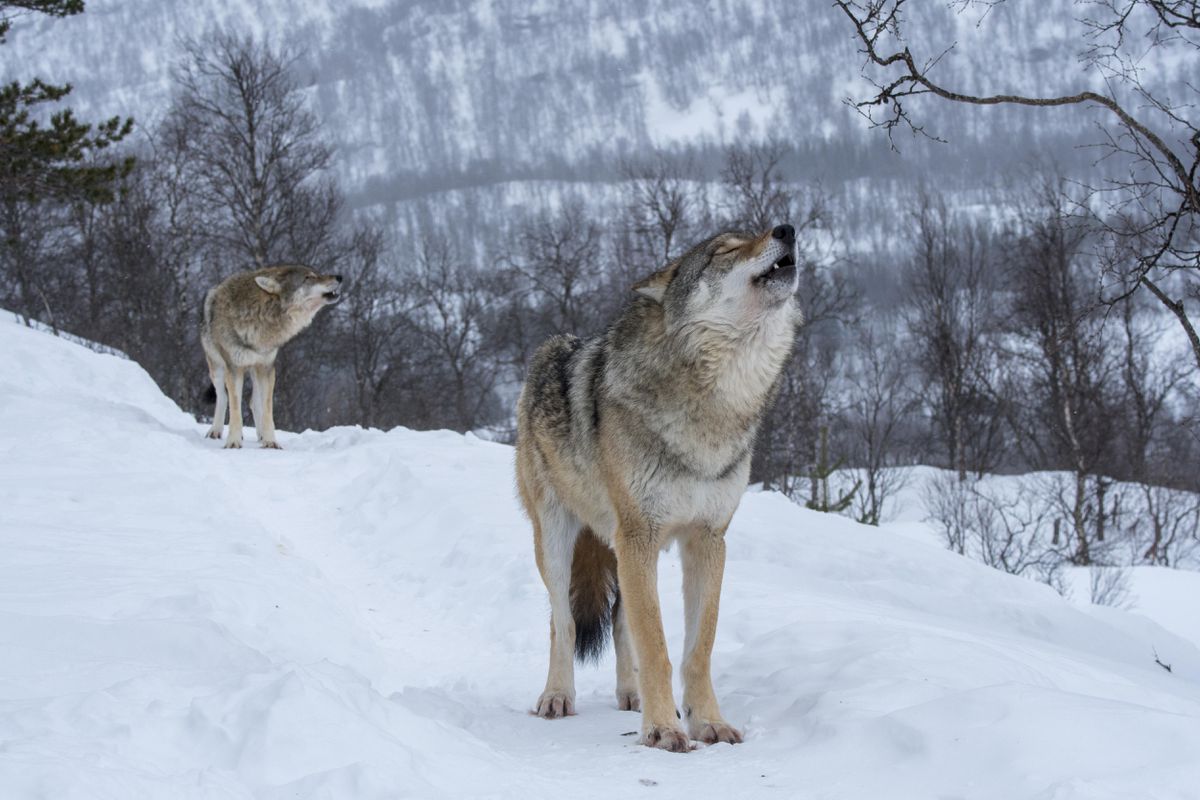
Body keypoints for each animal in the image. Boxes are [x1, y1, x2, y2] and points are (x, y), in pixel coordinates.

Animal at [201, 264, 342, 449]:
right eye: (308, 277)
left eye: (316, 273)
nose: (340, 277)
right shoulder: (234, 368)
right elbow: (235, 408)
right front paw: (233, 442)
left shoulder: (267, 367)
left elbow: (268, 409)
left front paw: (270, 442)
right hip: (217, 368)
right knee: (223, 396)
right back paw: (215, 431)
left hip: (256, 370)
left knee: (254, 402)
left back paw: (261, 435)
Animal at [515, 223, 801, 752]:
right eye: (725, 251)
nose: (787, 228)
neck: (716, 403)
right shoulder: (640, 535)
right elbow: (657, 646)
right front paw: (664, 728)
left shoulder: (707, 540)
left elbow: (696, 648)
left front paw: (707, 721)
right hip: (559, 539)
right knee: (562, 622)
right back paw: (557, 697)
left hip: (620, 548)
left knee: (620, 621)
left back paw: (630, 694)